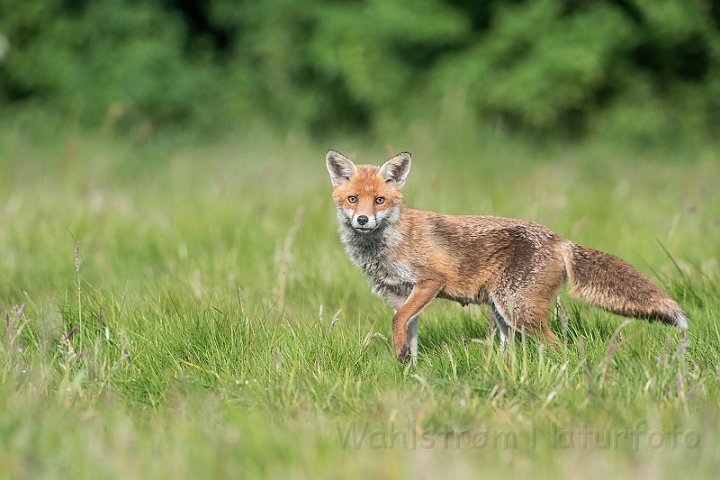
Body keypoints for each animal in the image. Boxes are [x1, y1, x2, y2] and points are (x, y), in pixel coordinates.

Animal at [326, 150, 688, 364]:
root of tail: (559, 239)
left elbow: (397, 323)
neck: (386, 244)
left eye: (380, 200)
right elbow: (406, 333)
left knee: (558, 345)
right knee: (512, 349)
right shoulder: (400, 295)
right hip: (503, 313)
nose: (362, 220)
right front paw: (406, 370)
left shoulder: (430, 281)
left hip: (518, 311)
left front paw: (402, 361)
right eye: (353, 199)